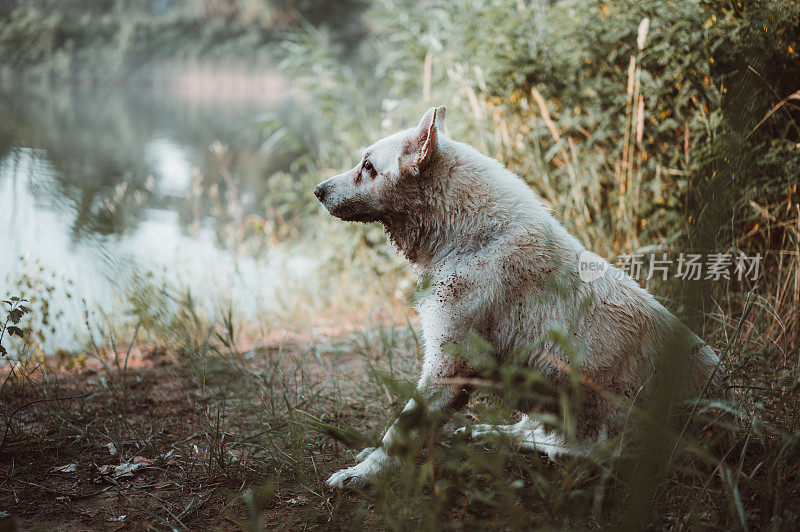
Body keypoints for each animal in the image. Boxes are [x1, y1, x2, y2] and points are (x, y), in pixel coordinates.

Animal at [314, 106, 720, 488]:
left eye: (367, 167)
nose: (318, 190)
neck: (475, 239)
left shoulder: (448, 366)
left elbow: (400, 429)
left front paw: (362, 474)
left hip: (603, 438)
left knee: (556, 447)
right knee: (527, 431)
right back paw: (480, 434)